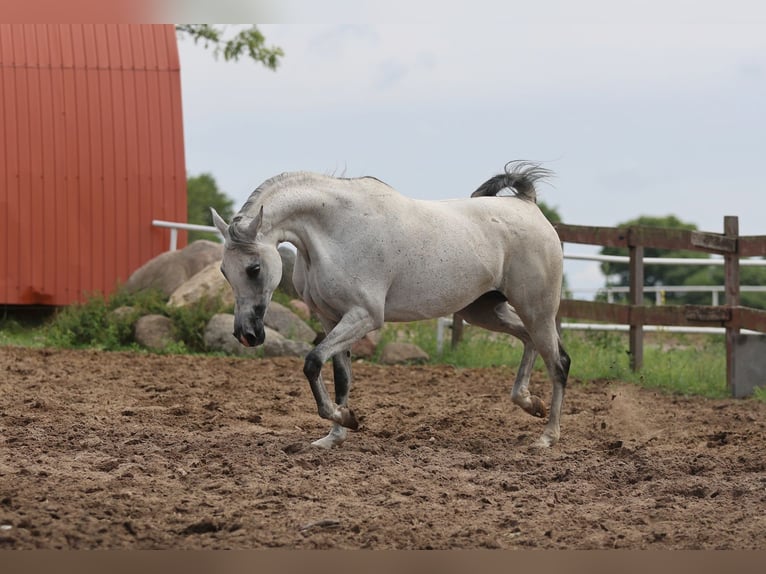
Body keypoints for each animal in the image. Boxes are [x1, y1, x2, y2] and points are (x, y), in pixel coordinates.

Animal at [210, 161, 568, 450]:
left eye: (254, 269)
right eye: (224, 271)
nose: (247, 335)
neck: (336, 230)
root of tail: (528, 205)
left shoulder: (364, 316)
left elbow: (312, 362)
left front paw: (346, 418)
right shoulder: (331, 319)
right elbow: (341, 376)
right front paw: (336, 433)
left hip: (538, 310)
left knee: (558, 362)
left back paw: (547, 437)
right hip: (483, 311)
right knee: (528, 340)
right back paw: (530, 403)